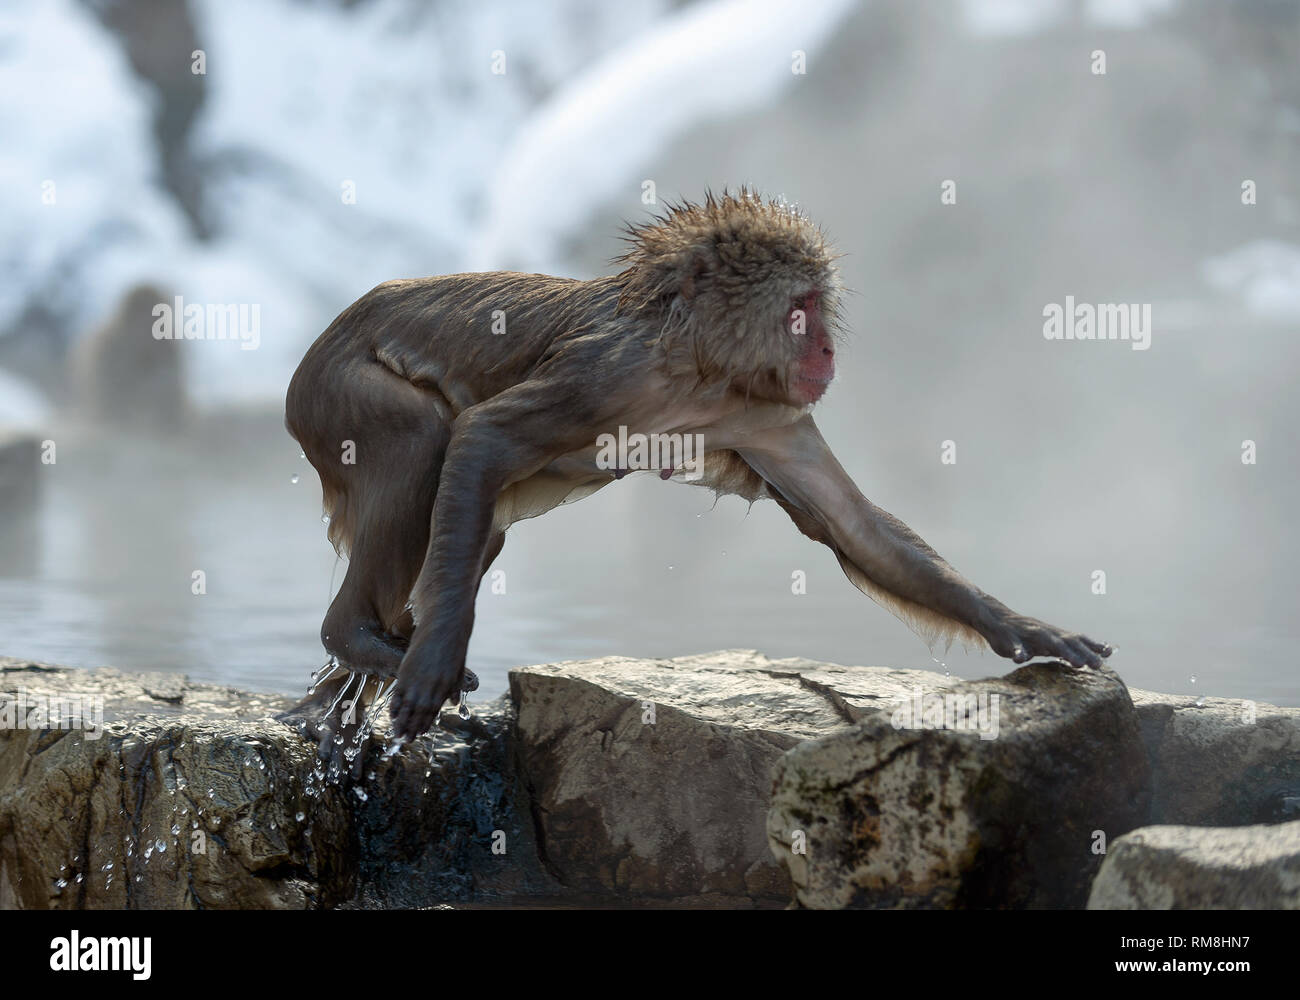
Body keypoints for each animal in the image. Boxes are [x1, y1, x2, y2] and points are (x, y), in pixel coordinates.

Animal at [282, 191, 1107, 743]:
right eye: (801, 308)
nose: (826, 350)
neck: (698, 369)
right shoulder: (605, 373)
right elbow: (482, 436)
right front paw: (436, 661)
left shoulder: (765, 415)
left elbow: (855, 525)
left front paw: (1028, 629)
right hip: (336, 390)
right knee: (423, 438)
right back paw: (356, 640)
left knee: (471, 519)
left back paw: (347, 680)